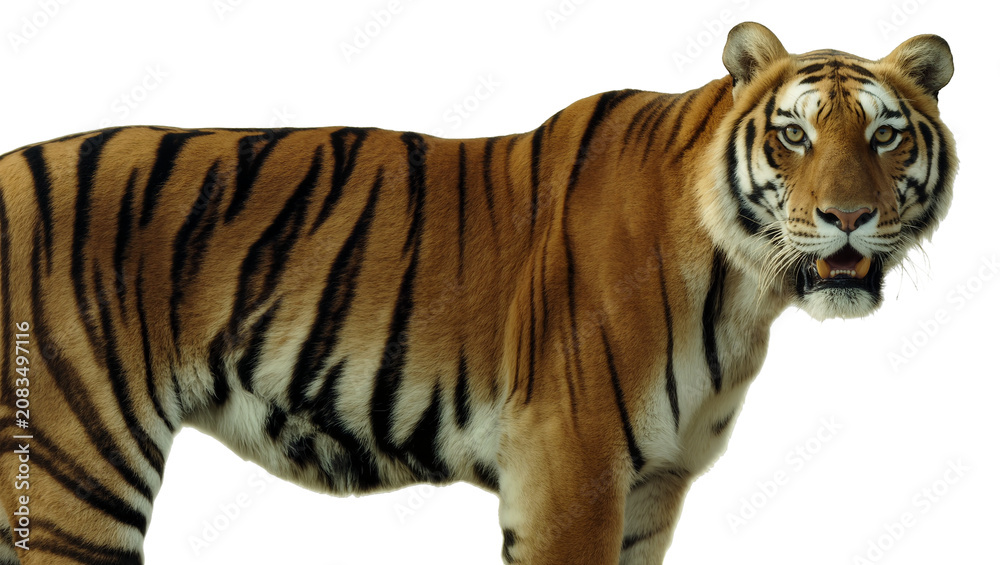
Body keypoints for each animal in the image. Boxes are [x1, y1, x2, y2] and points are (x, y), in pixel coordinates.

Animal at [0, 21, 954, 565]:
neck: (744, 287)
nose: (848, 217)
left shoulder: (652, 488)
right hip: (74, 475)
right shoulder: (570, 469)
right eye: (795, 135)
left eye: (886, 135)